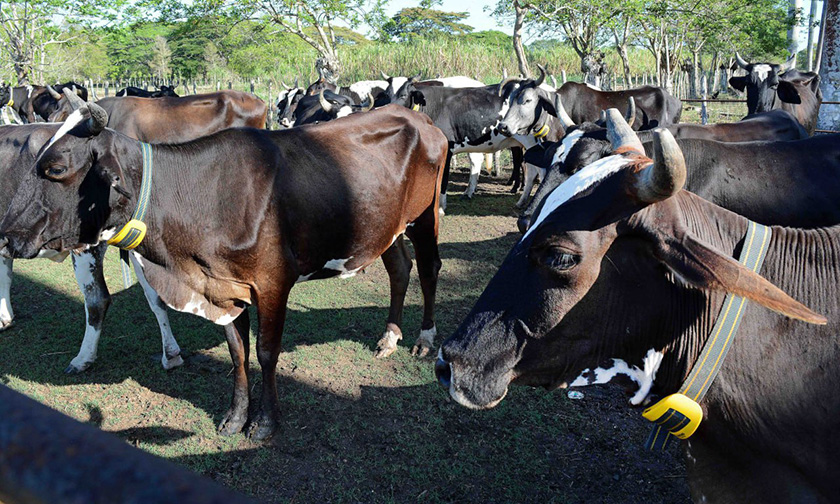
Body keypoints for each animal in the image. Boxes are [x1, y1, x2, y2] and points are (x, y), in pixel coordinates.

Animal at [0, 103, 450, 440]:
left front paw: (265, 423)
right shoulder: (223, 287)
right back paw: (389, 337)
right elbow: (238, 353)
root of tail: (419, 117)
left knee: (429, 268)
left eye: (56, 169)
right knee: (400, 269)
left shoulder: (273, 283)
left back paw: (425, 340)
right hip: (385, 228)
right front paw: (235, 417)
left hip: (424, 215)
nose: (6, 235)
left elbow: (266, 352)